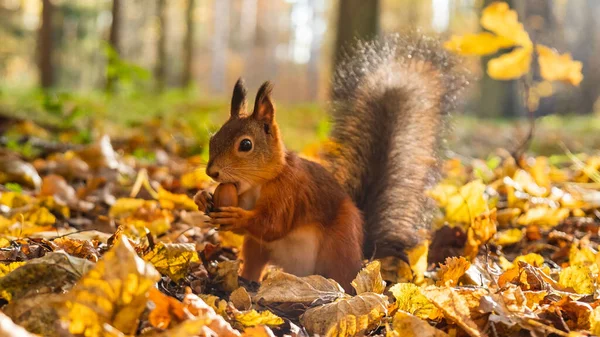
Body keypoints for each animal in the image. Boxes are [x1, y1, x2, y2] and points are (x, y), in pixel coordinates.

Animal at [195, 34, 466, 292]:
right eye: (213, 137)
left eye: (245, 145)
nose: (212, 172)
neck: (260, 182)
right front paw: (203, 198)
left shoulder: (289, 193)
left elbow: (272, 225)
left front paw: (236, 217)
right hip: (258, 248)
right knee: (255, 261)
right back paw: (246, 280)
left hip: (339, 245)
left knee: (342, 277)